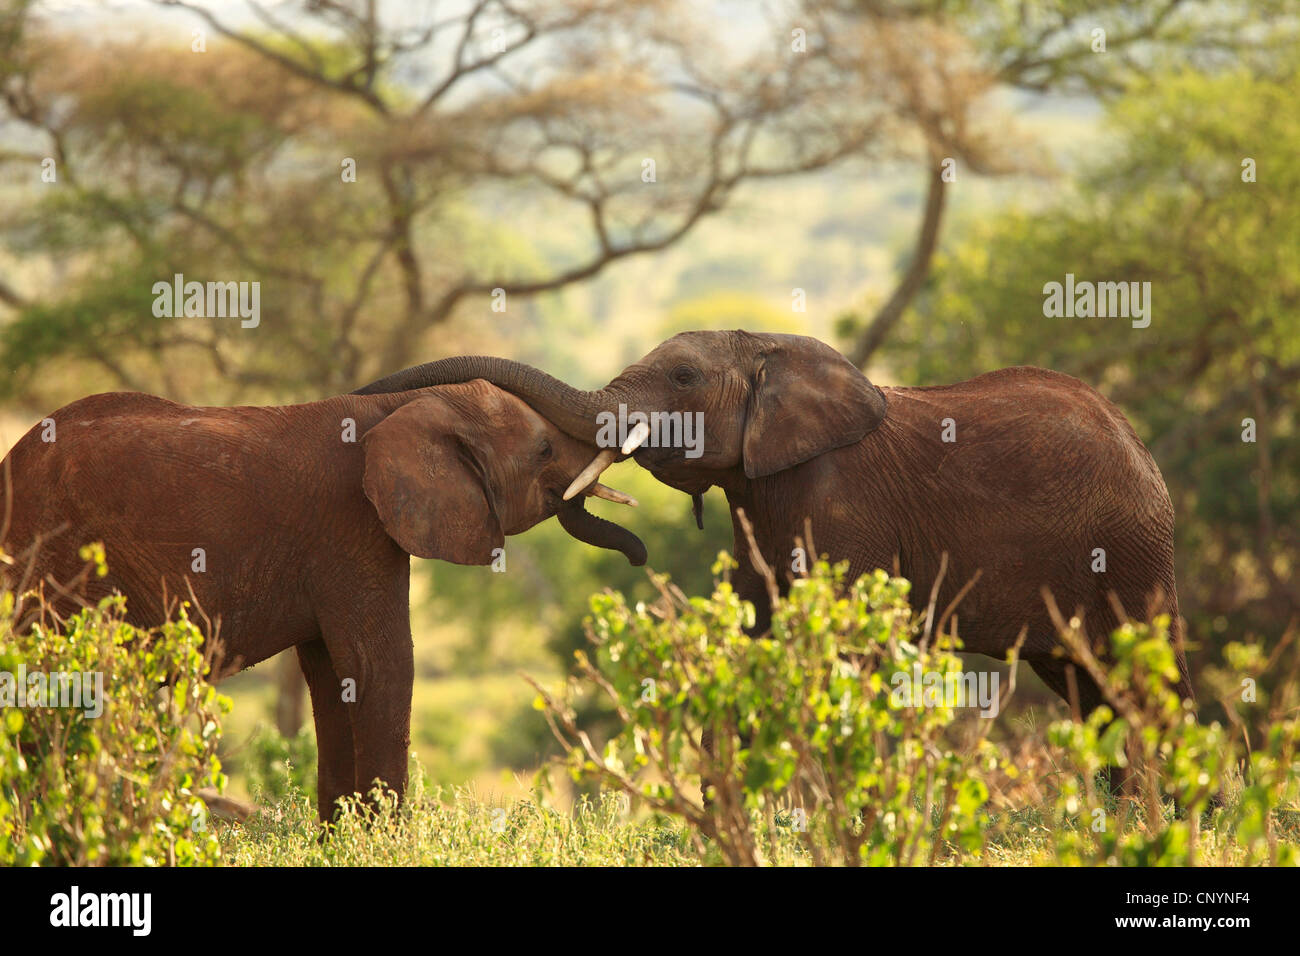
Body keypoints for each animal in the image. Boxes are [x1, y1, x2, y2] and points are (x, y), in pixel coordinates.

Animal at [2, 382, 644, 822]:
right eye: (544, 450)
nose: (640, 557)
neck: (404, 405)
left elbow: (335, 677)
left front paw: (340, 840)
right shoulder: (352, 528)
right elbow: (380, 666)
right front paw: (383, 843)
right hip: (49, 567)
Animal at [351, 332, 1190, 712]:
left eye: (683, 376)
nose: (637, 555)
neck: (772, 347)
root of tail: (1144, 450)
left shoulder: (842, 505)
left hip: (1129, 551)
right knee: (1089, 688)